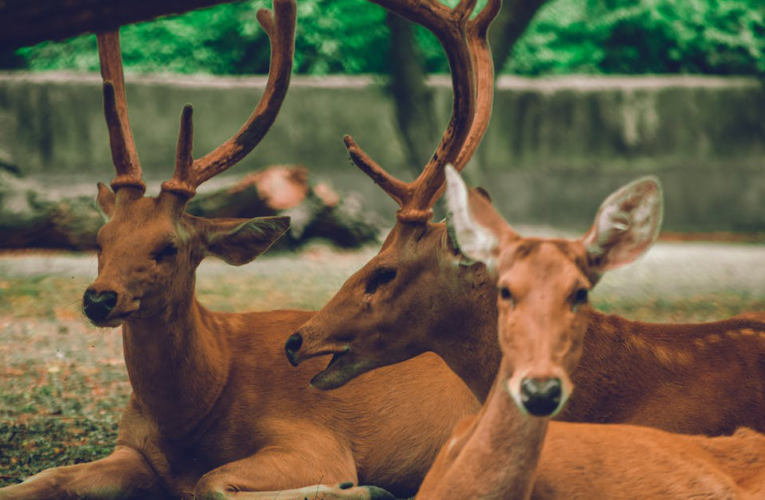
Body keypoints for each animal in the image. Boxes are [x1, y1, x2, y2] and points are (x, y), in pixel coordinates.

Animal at [0, 0, 490, 500]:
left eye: (168, 247)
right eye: (100, 241)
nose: (99, 298)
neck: (194, 413)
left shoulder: (315, 439)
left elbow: (211, 482)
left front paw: (363, 489)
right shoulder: (133, 448)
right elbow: (45, 476)